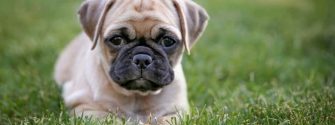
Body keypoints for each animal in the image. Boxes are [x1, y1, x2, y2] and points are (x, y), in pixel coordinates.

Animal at [54, 0, 209, 123]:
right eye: (116, 40)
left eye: (168, 41)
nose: (142, 58)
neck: (137, 96)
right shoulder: (86, 108)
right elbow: (109, 120)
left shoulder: (176, 112)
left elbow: (164, 121)